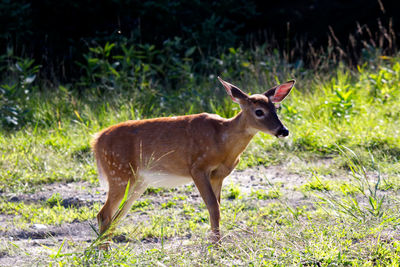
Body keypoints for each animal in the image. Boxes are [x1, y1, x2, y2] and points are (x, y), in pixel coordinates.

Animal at [92, 76, 296, 244]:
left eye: (276, 109)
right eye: (259, 111)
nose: (283, 130)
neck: (222, 141)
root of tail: (96, 140)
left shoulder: (218, 175)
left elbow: (217, 208)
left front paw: (216, 243)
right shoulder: (197, 167)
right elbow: (213, 207)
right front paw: (216, 246)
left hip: (139, 181)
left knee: (117, 216)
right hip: (119, 173)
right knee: (104, 214)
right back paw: (103, 251)